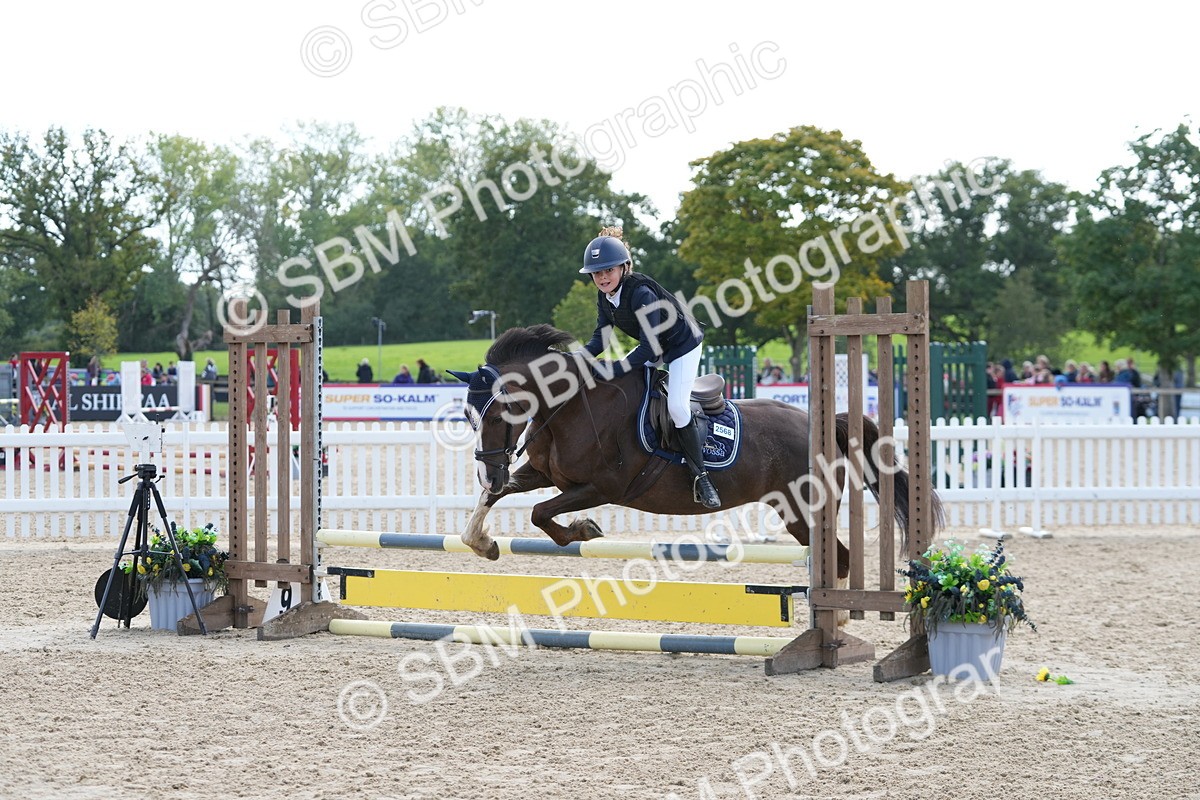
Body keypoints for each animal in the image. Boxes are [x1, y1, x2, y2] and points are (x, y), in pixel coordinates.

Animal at [451, 324, 939, 577]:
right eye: (468, 418)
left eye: (496, 415)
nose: (487, 470)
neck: (570, 407)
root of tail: (822, 424)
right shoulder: (545, 475)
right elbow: (498, 499)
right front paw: (484, 544)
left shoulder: (604, 487)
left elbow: (540, 513)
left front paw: (584, 529)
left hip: (805, 511)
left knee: (839, 560)